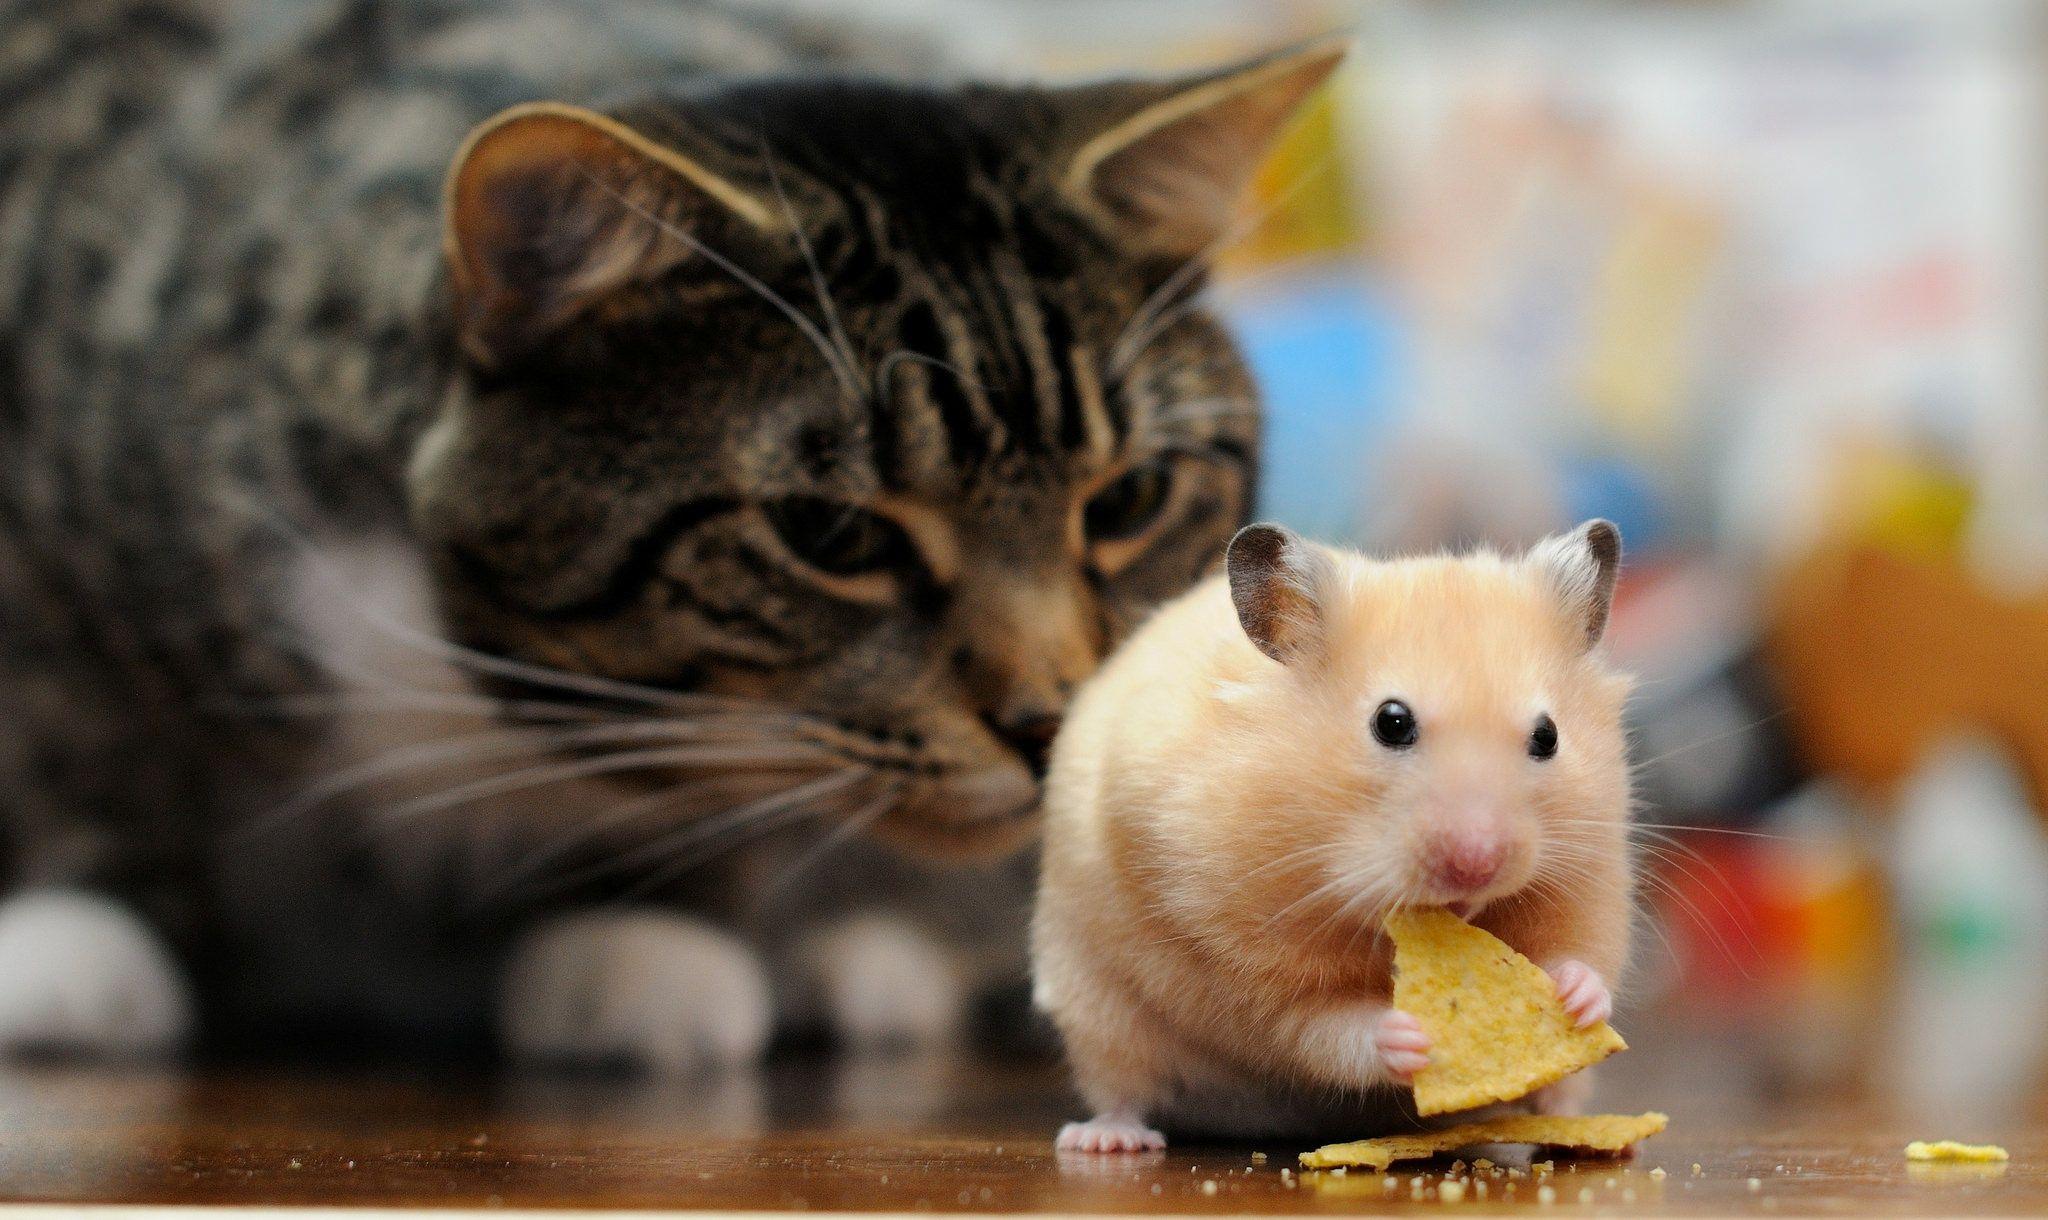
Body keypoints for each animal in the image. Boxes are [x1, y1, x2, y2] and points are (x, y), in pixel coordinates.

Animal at [1032, 521, 1635, 1152]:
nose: (1476, 866)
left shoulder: (1592, 879)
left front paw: (1577, 999)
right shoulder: (1247, 961)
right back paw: (1108, 1140)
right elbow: (1324, 1028)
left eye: (1548, 736)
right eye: (1391, 722)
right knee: (1119, 1086)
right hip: (1093, 1004)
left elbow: (1582, 952)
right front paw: (1408, 1032)